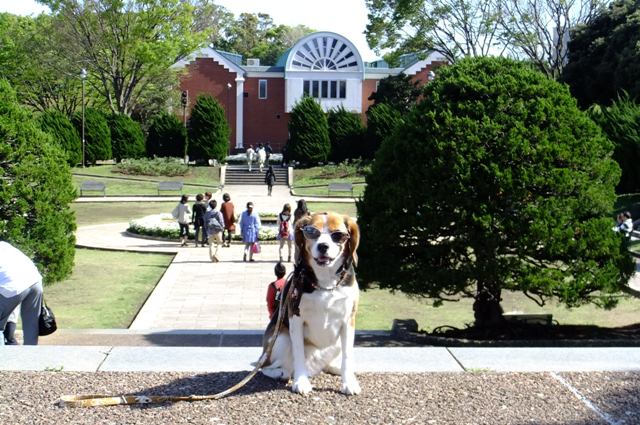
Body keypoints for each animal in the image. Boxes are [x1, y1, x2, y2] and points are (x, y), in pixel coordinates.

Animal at [260, 212, 360, 394]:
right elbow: (298, 351)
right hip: (280, 338)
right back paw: (282, 372)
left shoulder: (349, 320)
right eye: (311, 232)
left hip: (335, 345)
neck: (325, 282)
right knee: (268, 367)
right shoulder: (295, 318)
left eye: (338, 235)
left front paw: (348, 382)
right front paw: (301, 382)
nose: (323, 246)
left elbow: (348, 356)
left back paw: (333, 367)